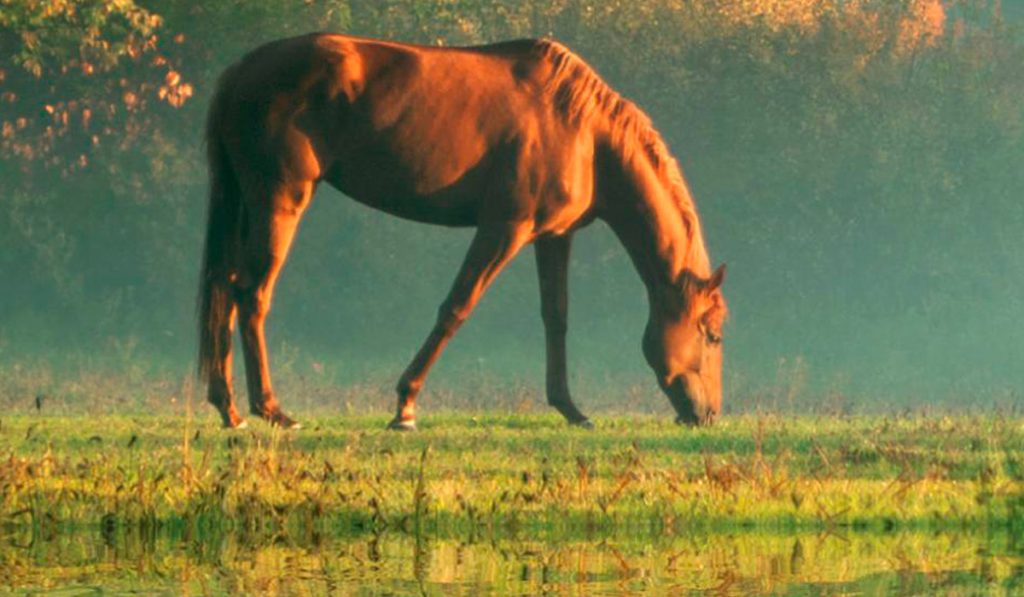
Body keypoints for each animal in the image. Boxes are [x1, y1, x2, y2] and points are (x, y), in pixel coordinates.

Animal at [197, 32, 729, 432]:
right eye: (712, 334)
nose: (708, 414)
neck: (585, 133)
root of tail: (240, 70)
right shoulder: (504, 229)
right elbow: (456, 307)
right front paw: (405, 407)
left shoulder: (553, 238)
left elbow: (555, 318)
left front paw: (571, 409)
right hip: (280, 202)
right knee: (252, 293)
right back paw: (271, 410)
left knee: (226, 289)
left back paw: (229, 408)